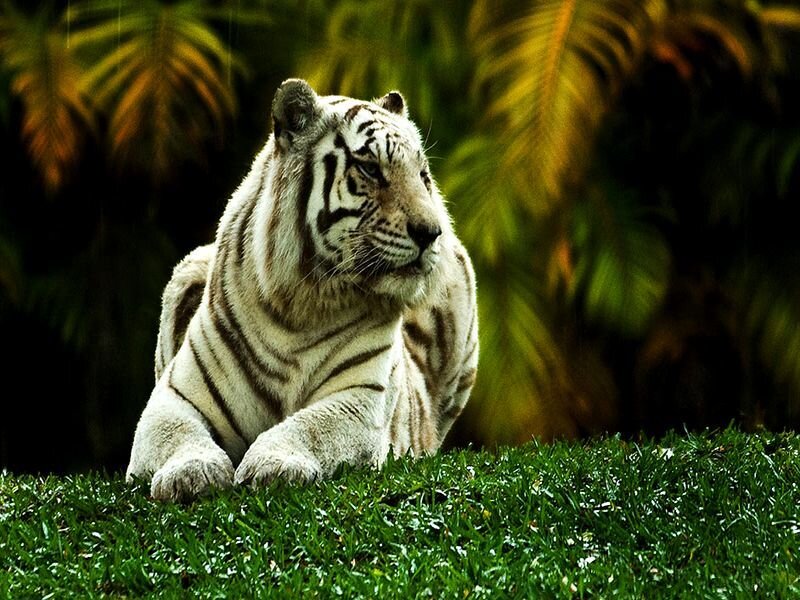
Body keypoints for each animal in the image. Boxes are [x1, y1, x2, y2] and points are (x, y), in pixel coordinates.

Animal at [126, 79, 479, 502]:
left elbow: (309, 427)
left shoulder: (359, 399)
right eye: (370, 168)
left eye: (423, 175)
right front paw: (191, 474)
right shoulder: (174, 396)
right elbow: (176, 433)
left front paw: (271, 466)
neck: (300, 307)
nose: (432, 233)